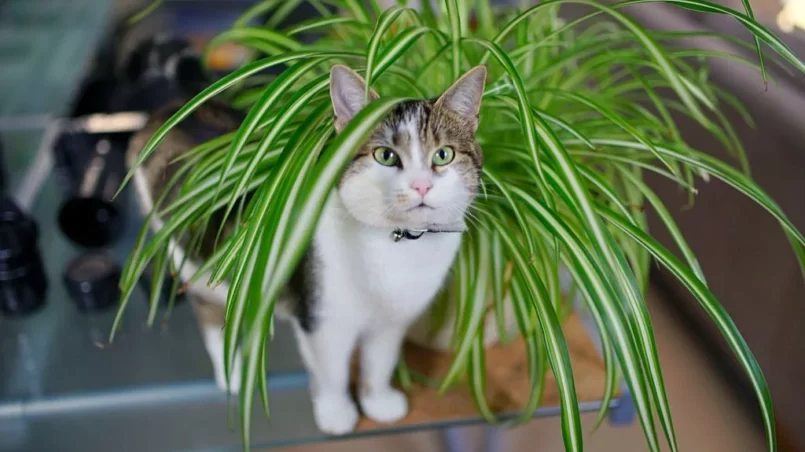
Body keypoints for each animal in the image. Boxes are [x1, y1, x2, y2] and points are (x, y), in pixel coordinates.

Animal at [127, 63, 484, 434]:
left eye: (443, 154)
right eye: (385, 156)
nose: (421, 185)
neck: (398, 247)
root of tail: (168, 110)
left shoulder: (391, 322)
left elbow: (379, 362)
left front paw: (378, 402)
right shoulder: (321, 318)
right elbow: (333, 371)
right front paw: (336, 413)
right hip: (188, 259)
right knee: (208, 312)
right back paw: (233, 374)